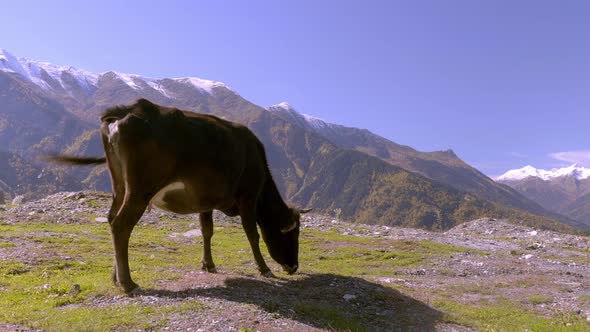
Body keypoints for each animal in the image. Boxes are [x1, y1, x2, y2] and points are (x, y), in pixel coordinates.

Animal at [51, 98, 310, 294]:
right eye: (292, 234)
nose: (294, 266)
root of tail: (130, 108)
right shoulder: (248, 195)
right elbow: (252, 234)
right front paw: (264, 268)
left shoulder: (206, 200)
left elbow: (207, 230)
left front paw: (208, 264)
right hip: (140, 189)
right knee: (121, 225)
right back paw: (128, 283)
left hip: (120, 186)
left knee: (111, 219)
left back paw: (116, 278)